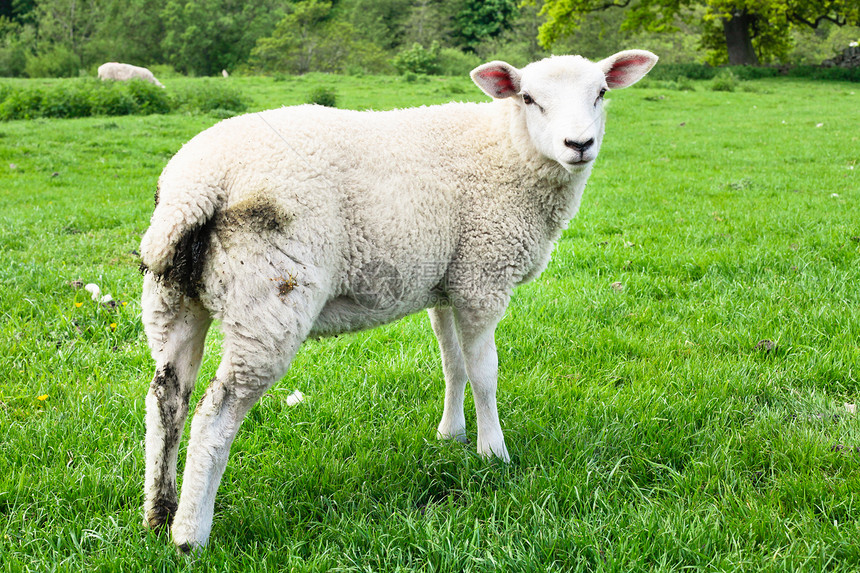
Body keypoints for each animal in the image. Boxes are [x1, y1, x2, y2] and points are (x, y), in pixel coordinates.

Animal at [139, 47, 660, 548]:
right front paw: (494, 454)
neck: (507, 150)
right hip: (269, 300)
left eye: (601, 93)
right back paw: (190, 535)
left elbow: (453, 364)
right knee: (214, 414)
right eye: (529, 98)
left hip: (172, 298)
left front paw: (451, 436)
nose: (579, 145)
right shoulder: (483, 277)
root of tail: (195, 187)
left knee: (167, 398)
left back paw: (159, 513)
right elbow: (484, 373)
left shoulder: (448, 282)